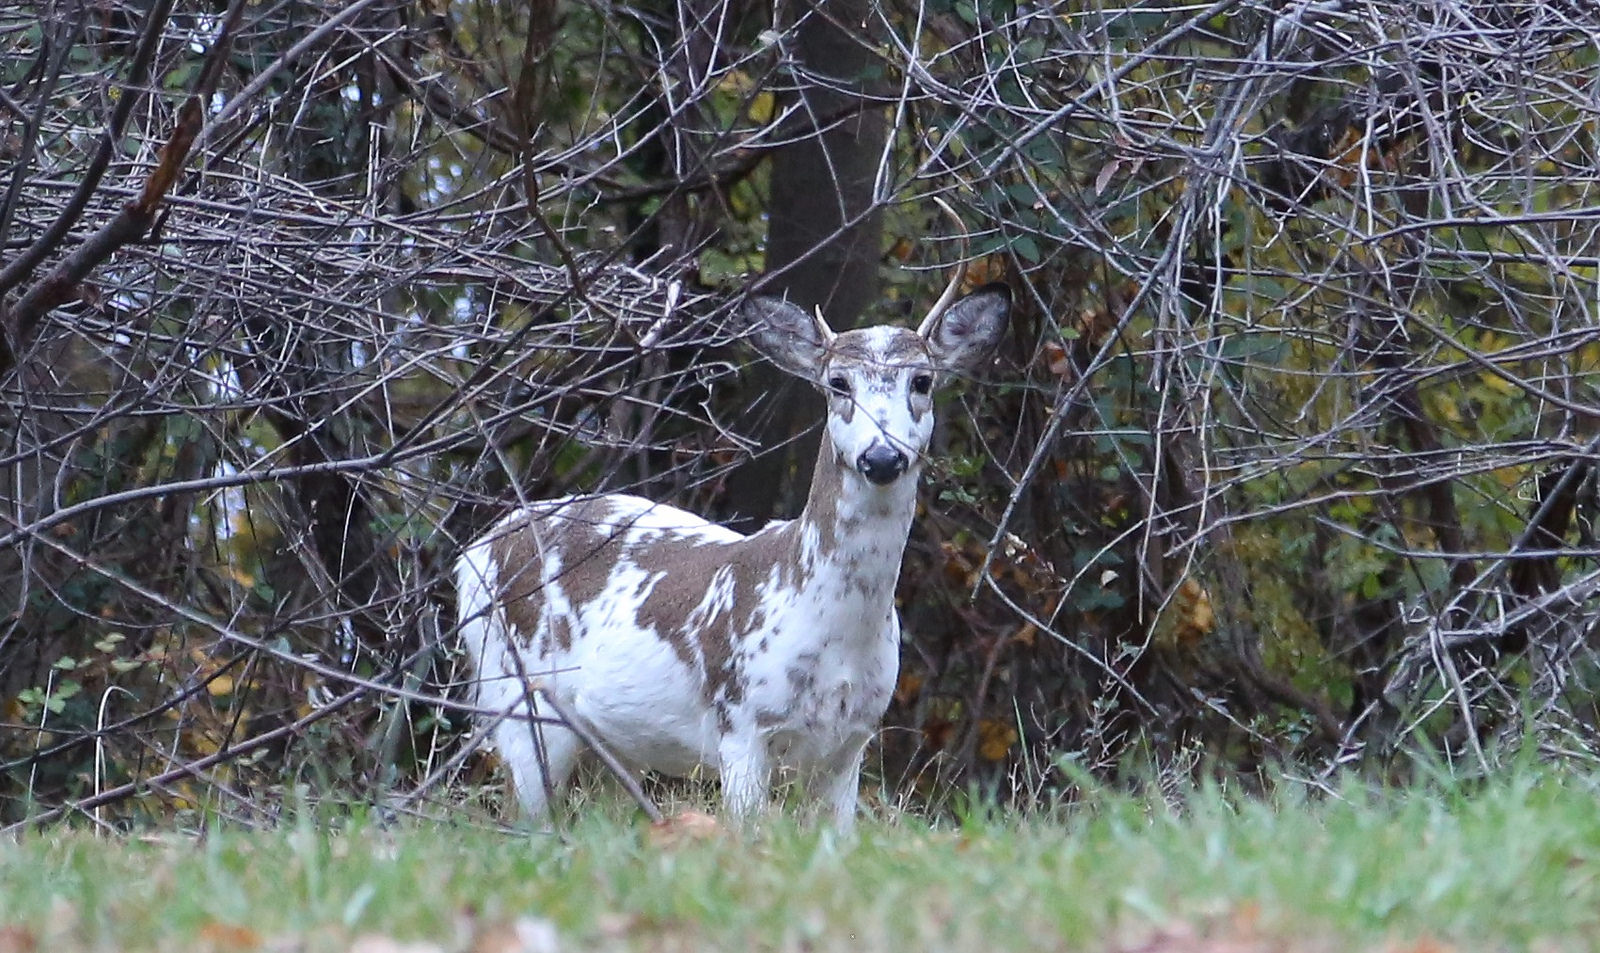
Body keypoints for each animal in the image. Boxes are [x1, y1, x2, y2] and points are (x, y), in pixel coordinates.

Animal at [451, 275, 1004, 825]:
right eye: (838, 383)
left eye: (922, 381)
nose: (883, 456)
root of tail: (473, 551)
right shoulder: (740, 722)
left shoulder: (852, 742)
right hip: (515, 693)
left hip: (611, 740)